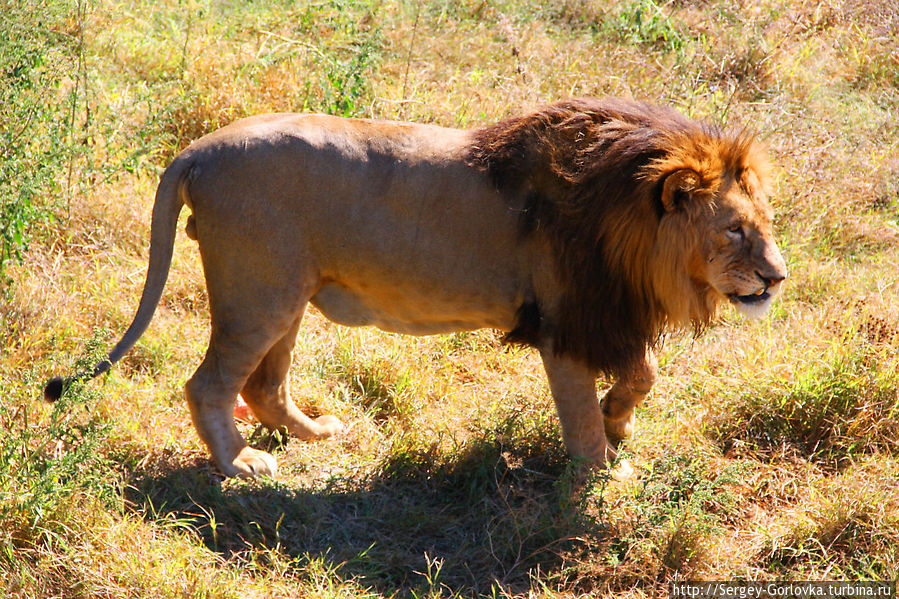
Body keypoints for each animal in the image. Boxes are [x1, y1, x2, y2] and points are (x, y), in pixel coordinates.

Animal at [44, 101, 788, 480]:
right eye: (733, 230)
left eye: (767, 223)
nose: (777, 277)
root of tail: (196, 150)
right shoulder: (563, 324)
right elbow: (580, 416)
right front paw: (602, 472)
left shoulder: (601, 315)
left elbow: (645, 371)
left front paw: (618, 421)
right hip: (258, 292)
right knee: (209, 384)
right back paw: (241, 464)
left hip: (287, 293)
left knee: (262, 384)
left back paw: (315, 432)